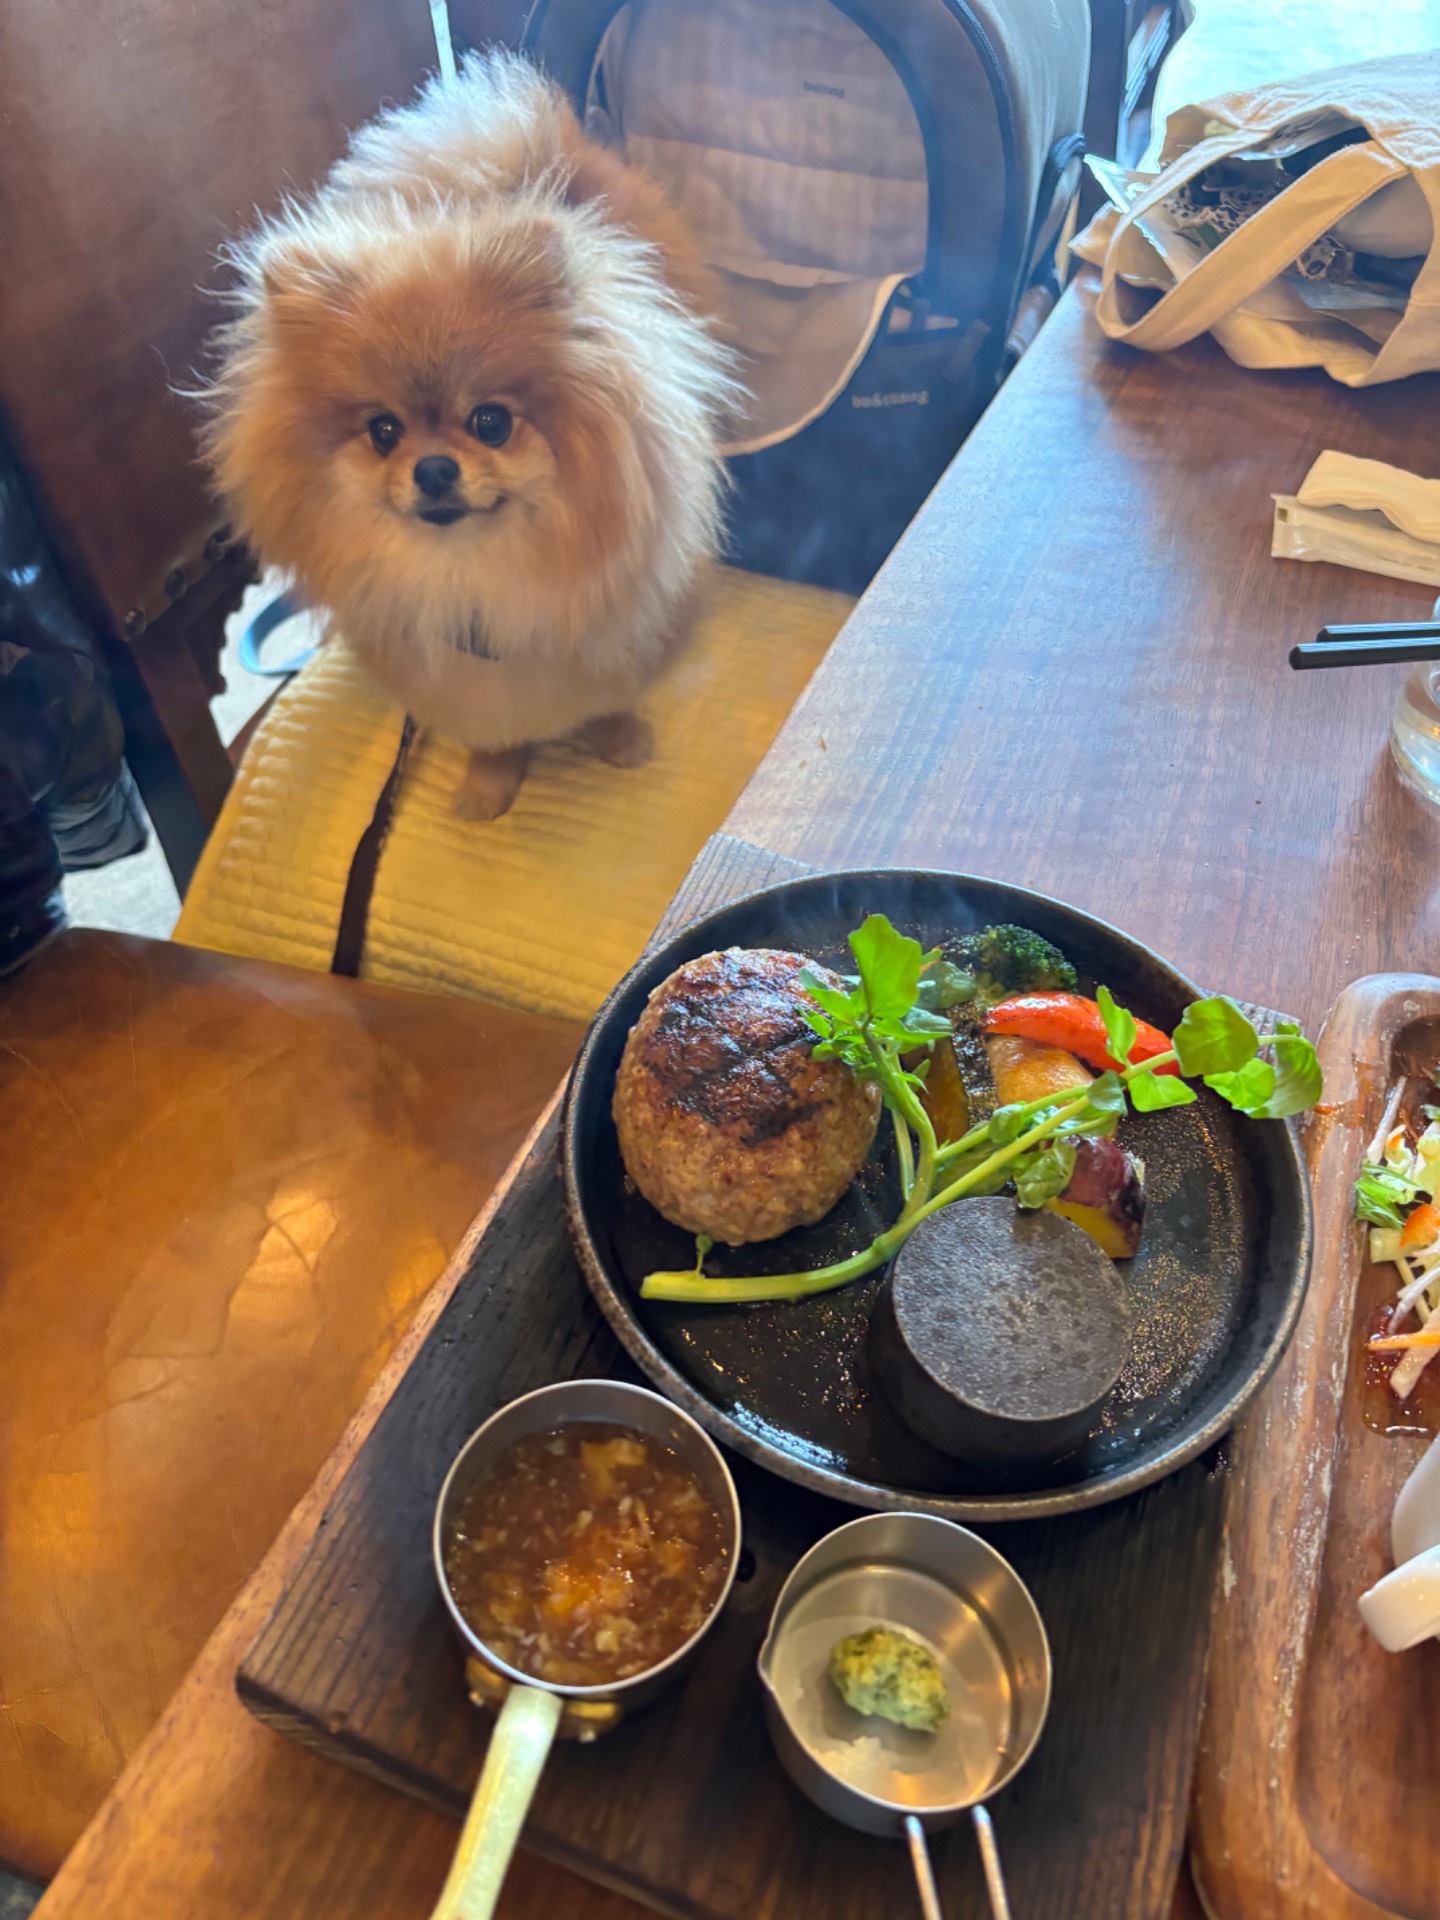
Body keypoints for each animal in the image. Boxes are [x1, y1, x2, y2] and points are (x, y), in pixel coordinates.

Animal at [201, 50, 739, 820]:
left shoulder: (621, 631)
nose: (433, 468)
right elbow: (491, 736)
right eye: (383, 432)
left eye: (491, 421)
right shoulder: (456, 681)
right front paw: (488, 789)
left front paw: (620, 741)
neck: (473, 572)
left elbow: (609, 699)